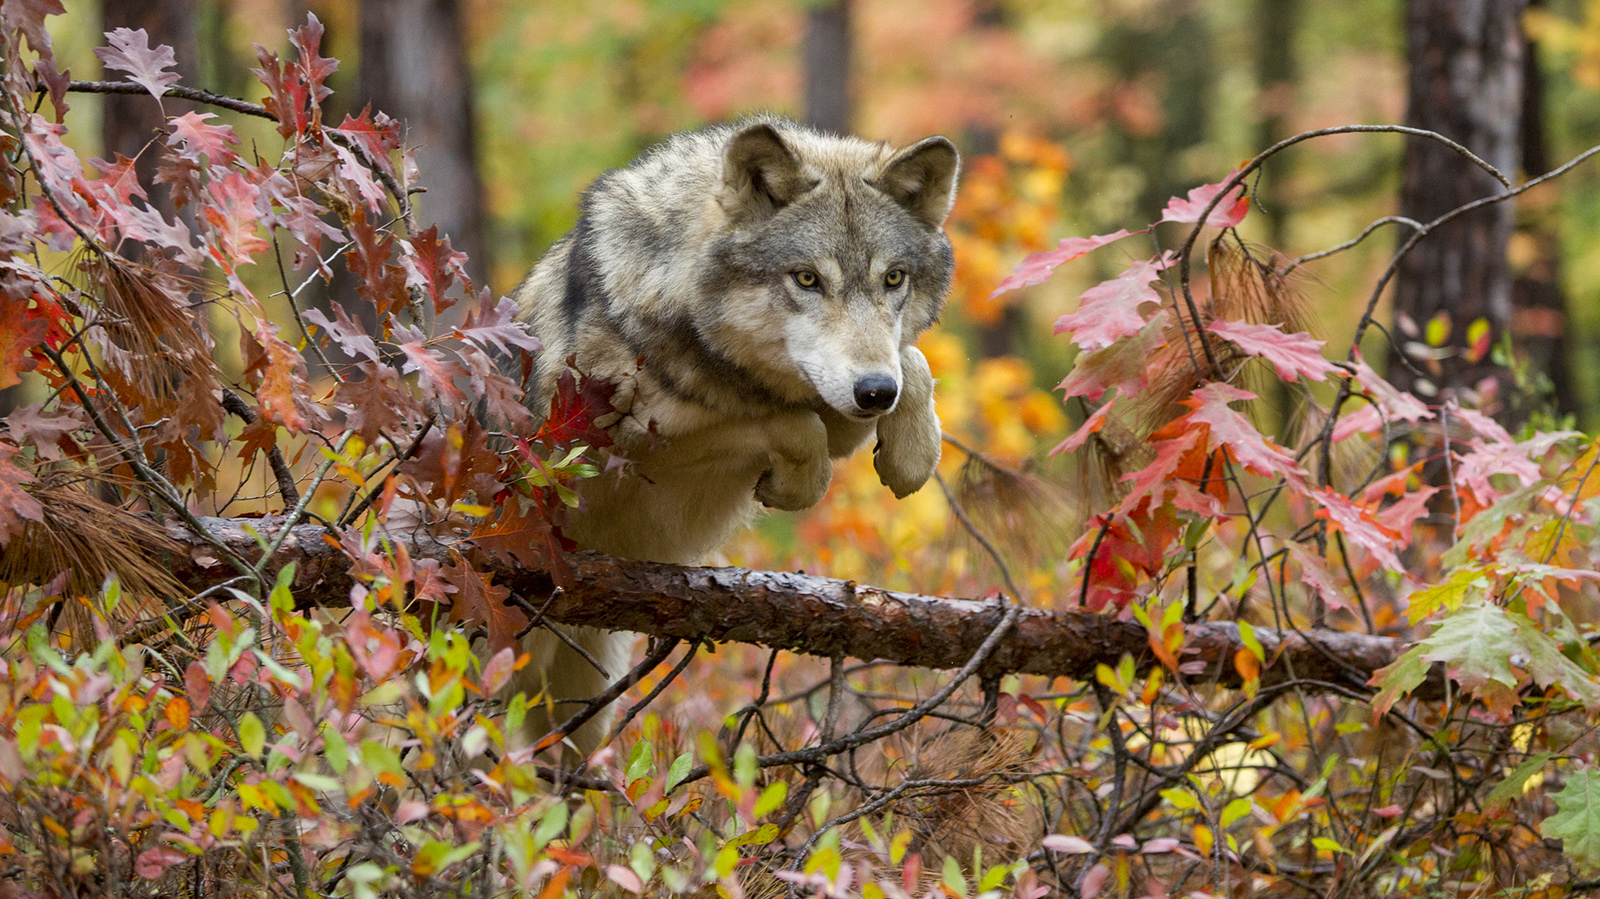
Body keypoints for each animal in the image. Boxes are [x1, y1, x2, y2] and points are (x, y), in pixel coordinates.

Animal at [505, 115, 953, 751]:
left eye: (894, 279)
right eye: (807, 279)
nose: (873, 393)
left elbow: (911, 363)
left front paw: (912, 456)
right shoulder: (629, 444)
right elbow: (793, 426)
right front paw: (795, 485)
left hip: (586, 698)